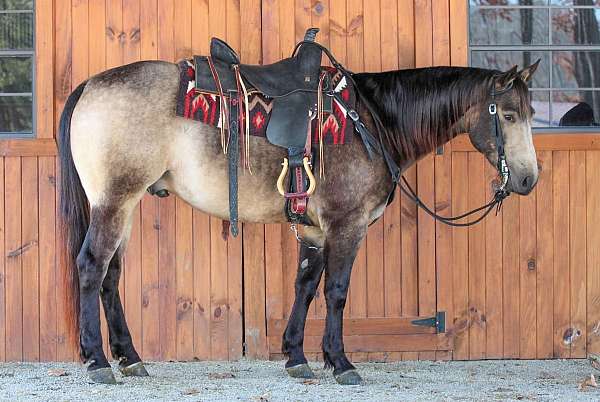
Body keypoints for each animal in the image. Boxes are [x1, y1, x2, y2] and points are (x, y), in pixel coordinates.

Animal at [58, 29, 540, 384]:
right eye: (508, 115)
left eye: (531, 113)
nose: (528, 179)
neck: (373, 119)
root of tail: (91, 84)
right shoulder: (347, 225)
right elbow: (336, 292)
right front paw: (341, 363)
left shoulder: (313, 229)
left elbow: (305, 286)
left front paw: (296, 356)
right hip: (114, 201)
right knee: (91, 266)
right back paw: (98, 361)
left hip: (124, 205)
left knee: (111, 275)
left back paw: (129, 357)